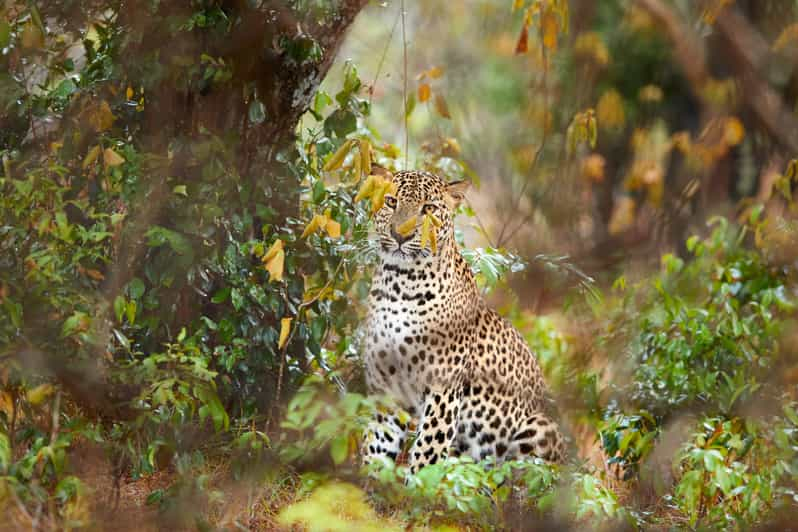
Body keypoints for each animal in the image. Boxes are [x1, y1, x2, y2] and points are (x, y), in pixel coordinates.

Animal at [360, 168, 564, 472]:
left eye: (428, 209)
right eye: (391, 201)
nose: (399, 235)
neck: (400, 284)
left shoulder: (442, 390)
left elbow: (427, 455)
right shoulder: (386, 386)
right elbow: (376, 445)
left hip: (539, 429)